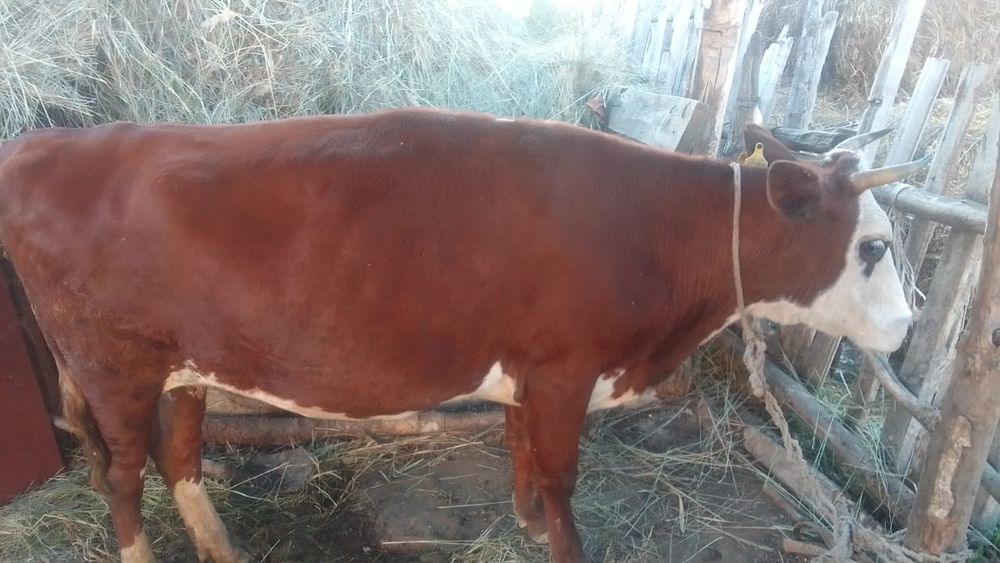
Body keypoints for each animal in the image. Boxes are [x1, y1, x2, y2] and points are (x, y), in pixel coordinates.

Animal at [0, 109, 925, 563]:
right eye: (875, 246)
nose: (908, 328)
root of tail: (44, 145)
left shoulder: (530, 370)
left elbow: (521, 451)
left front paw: (521, 523)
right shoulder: (564, 370)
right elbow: (561, 475)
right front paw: (560, 544)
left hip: (187, 365)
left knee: (179, 455)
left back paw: (221, 548)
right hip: (112, 366)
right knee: (123, 478)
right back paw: (144, 554)